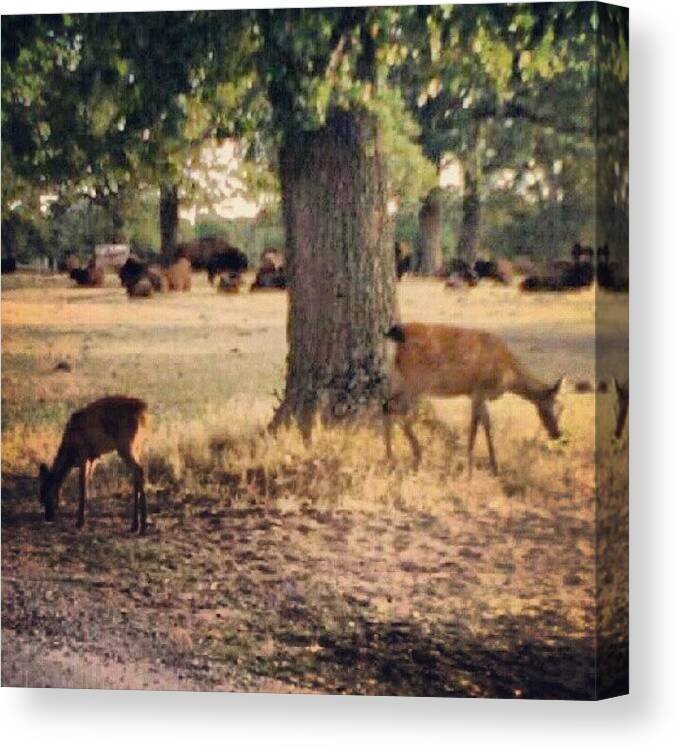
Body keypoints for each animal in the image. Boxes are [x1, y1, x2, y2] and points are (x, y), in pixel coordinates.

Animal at [39, 400, 150, 536]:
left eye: (44, 494)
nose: (48, 517)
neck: (70, 450)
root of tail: (143, 411)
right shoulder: (94, 458)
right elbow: (88, 482)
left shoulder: (83, 451)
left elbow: (82, 483)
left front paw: (80, 522)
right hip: (136, 447)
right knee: (137, 475)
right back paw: (135, 525)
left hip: (125, 445)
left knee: (139, 470)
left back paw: (143, 526)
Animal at [386, 324, 564, 476]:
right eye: (551, 406)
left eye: (562, 408)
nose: (557, 433)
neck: (508, 376)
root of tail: (397, 335)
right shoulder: (479, 389)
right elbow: (475, 425)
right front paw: (470, 469)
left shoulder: (475, 393)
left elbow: (485, 422)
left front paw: (494, 466)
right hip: (417, 382)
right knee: (398, 410)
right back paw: (416, 456)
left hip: (400, 378)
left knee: (387, 405)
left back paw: (391, 458)